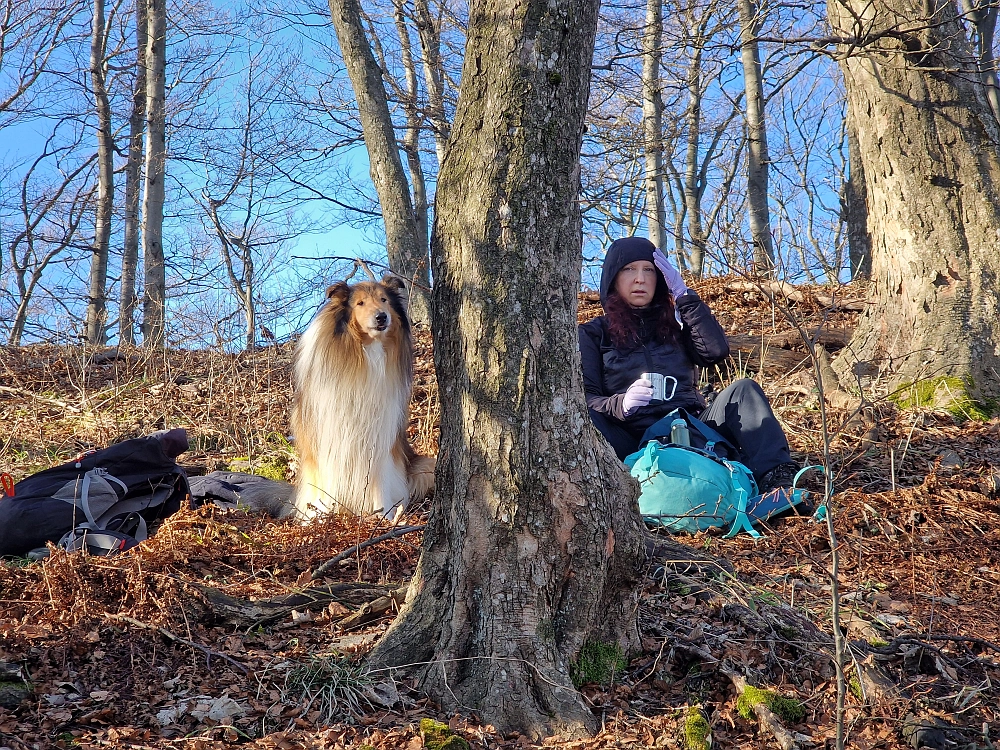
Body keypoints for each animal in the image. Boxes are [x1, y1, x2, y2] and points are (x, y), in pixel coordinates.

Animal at [288, 278, 432, 524]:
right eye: (360, 303)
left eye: (384, 299)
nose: (381, 317)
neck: (367, 352)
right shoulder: (329, 435)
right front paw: (324, 517)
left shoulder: (380, 438)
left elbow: (380, 480)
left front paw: (385, 516)